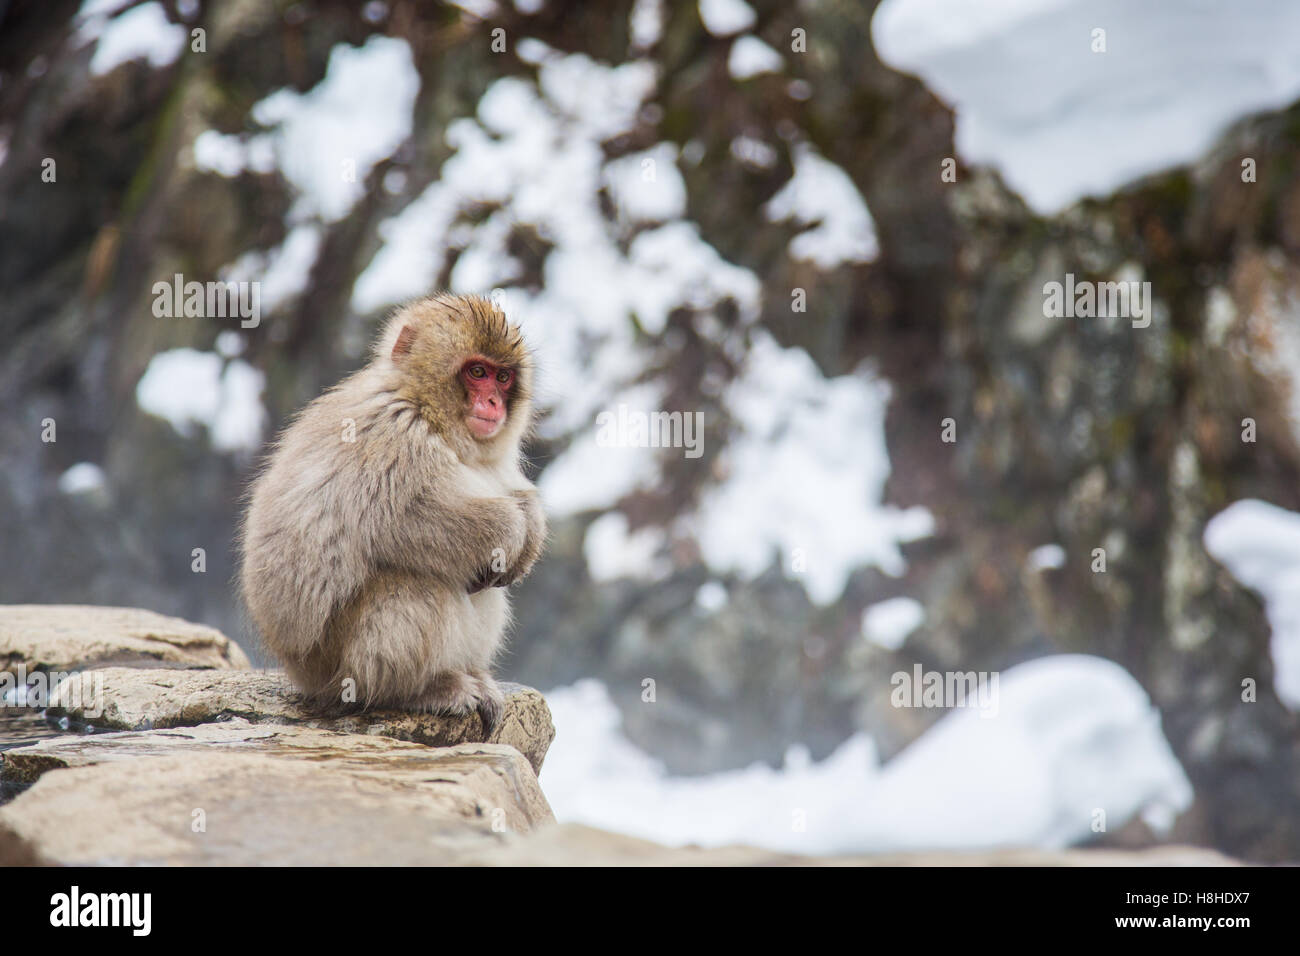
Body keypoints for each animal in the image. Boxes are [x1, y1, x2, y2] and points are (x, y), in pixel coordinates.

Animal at [241, 295, 546, 728]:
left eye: (503, 377)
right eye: (477, 372)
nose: (493, 403)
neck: (427, 410)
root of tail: (303, 675)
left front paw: (531, 521)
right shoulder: (394, 433)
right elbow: (402, 518)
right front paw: (512, 524)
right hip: (338, 664)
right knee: (417, 583)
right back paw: (418, 690)